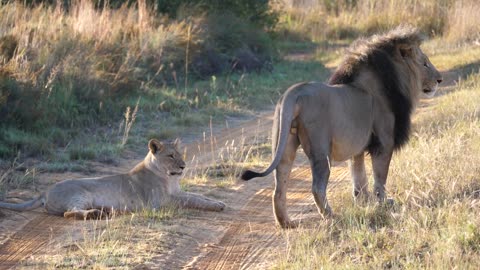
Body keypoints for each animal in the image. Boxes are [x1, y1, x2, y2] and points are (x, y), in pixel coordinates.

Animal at [0, 138, 226, 218]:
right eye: (171, 156)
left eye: (180, 154)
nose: (183, 166)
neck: (170, 178)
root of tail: (44, 191)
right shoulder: (160, 202)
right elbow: (192, 200)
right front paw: (217, 206)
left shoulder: (177, 192)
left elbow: (198, 196)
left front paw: (218, 202)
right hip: (80, 195)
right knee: (69, 213)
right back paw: (95, 213)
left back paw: (106, 211)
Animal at [242, 26, 444, 228]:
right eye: (425, 63)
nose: (440, 79)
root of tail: (294, 93)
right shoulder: (384, 143)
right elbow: (380, 179)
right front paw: (383, 204)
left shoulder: (359, 148)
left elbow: (359, 178)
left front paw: (363, 203)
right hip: (321, 150)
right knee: (317, 187)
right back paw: (331, 216)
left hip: (284, 144)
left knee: (279, 187)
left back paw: (286, 223)